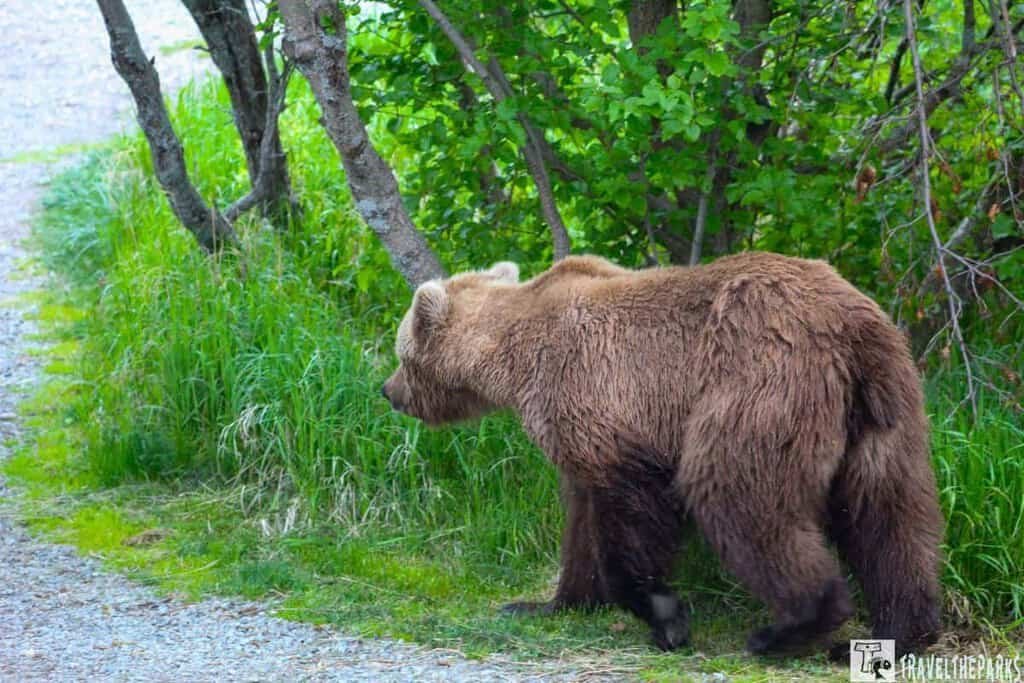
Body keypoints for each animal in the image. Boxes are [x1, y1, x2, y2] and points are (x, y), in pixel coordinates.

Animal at [381, 251, 943, 657]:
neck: (513, 355)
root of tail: (850, 325)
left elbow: (632, 510)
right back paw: (899, 632)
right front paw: (547, 603)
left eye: (401, 352)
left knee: (735, 494)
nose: (389, 391)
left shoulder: (598, 393)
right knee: (888, 516)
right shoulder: (575, 428)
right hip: (886, 410)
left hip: (757, 379)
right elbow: (580, 519)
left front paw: (664, 615)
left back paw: (788, 628)